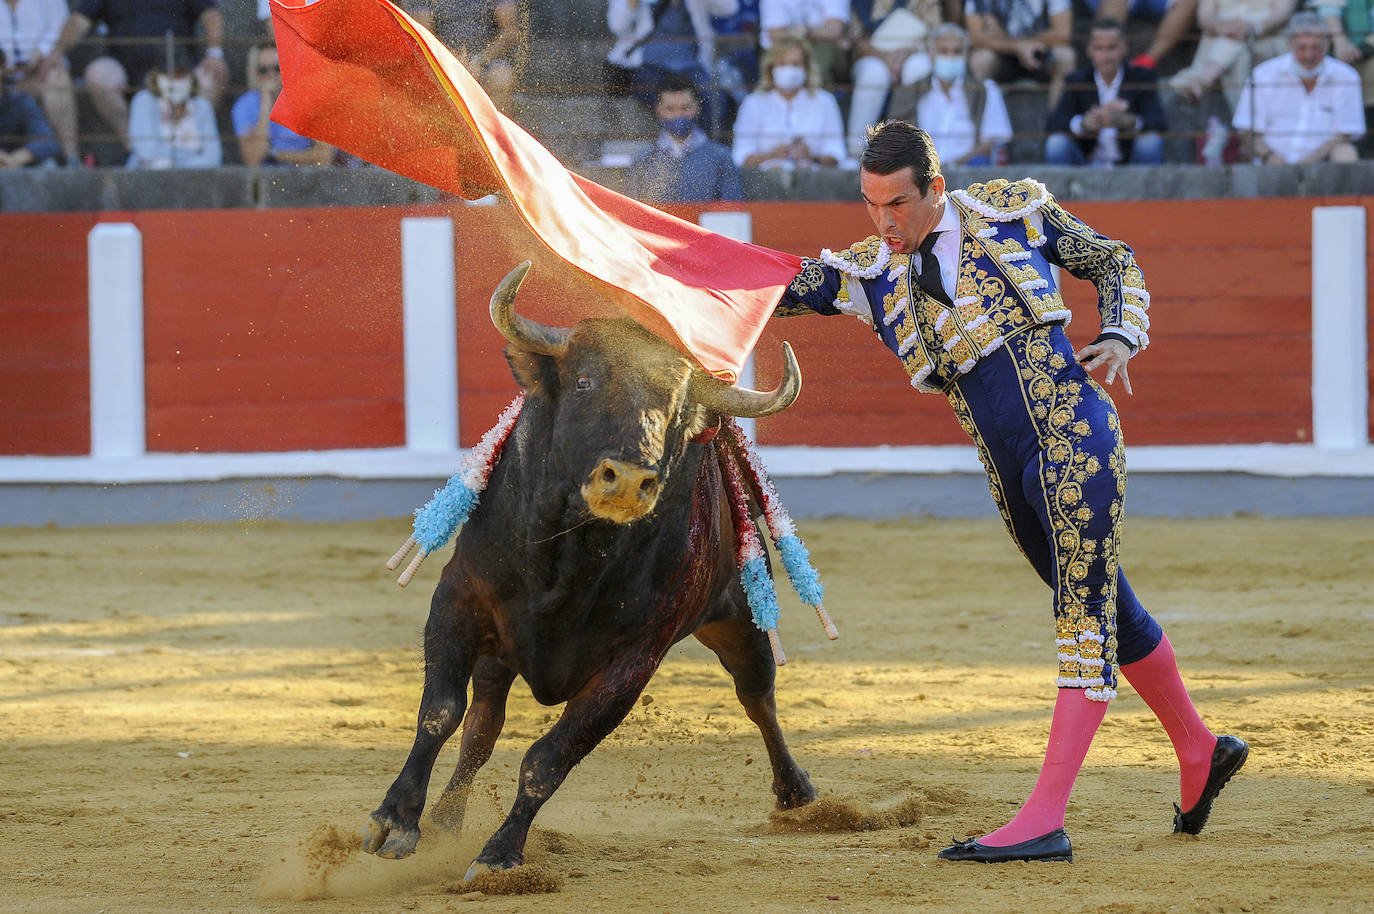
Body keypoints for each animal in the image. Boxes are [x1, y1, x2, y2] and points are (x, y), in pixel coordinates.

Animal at [359, 263, 818, 879]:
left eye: (678, 412)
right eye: (583, 383)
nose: (626, 479)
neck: (571, 556)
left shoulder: (633, 661)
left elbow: (550, 757)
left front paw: (499, 855)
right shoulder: (459, 600)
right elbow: (440, 712)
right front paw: (396, 820)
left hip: (739, 613)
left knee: (757, 693)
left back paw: (796, 793)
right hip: (500, 648)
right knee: (482, 722)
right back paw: (445, 819)